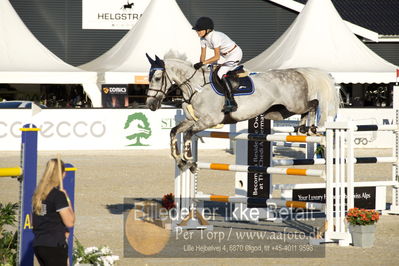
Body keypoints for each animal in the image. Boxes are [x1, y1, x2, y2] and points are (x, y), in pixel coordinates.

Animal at [147, 52, 340, 169]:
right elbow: (174, 131)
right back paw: (302, 127)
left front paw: (188, 160)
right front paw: (179, 160)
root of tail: (298, 72)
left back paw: (311, 128)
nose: (150, 104)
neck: (196, 87)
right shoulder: (193, 120)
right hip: (280, 111)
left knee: (313, 104)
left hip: (293, 104)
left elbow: (188, 134)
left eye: (157, 78)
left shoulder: (209, 120)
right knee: (306, 108)